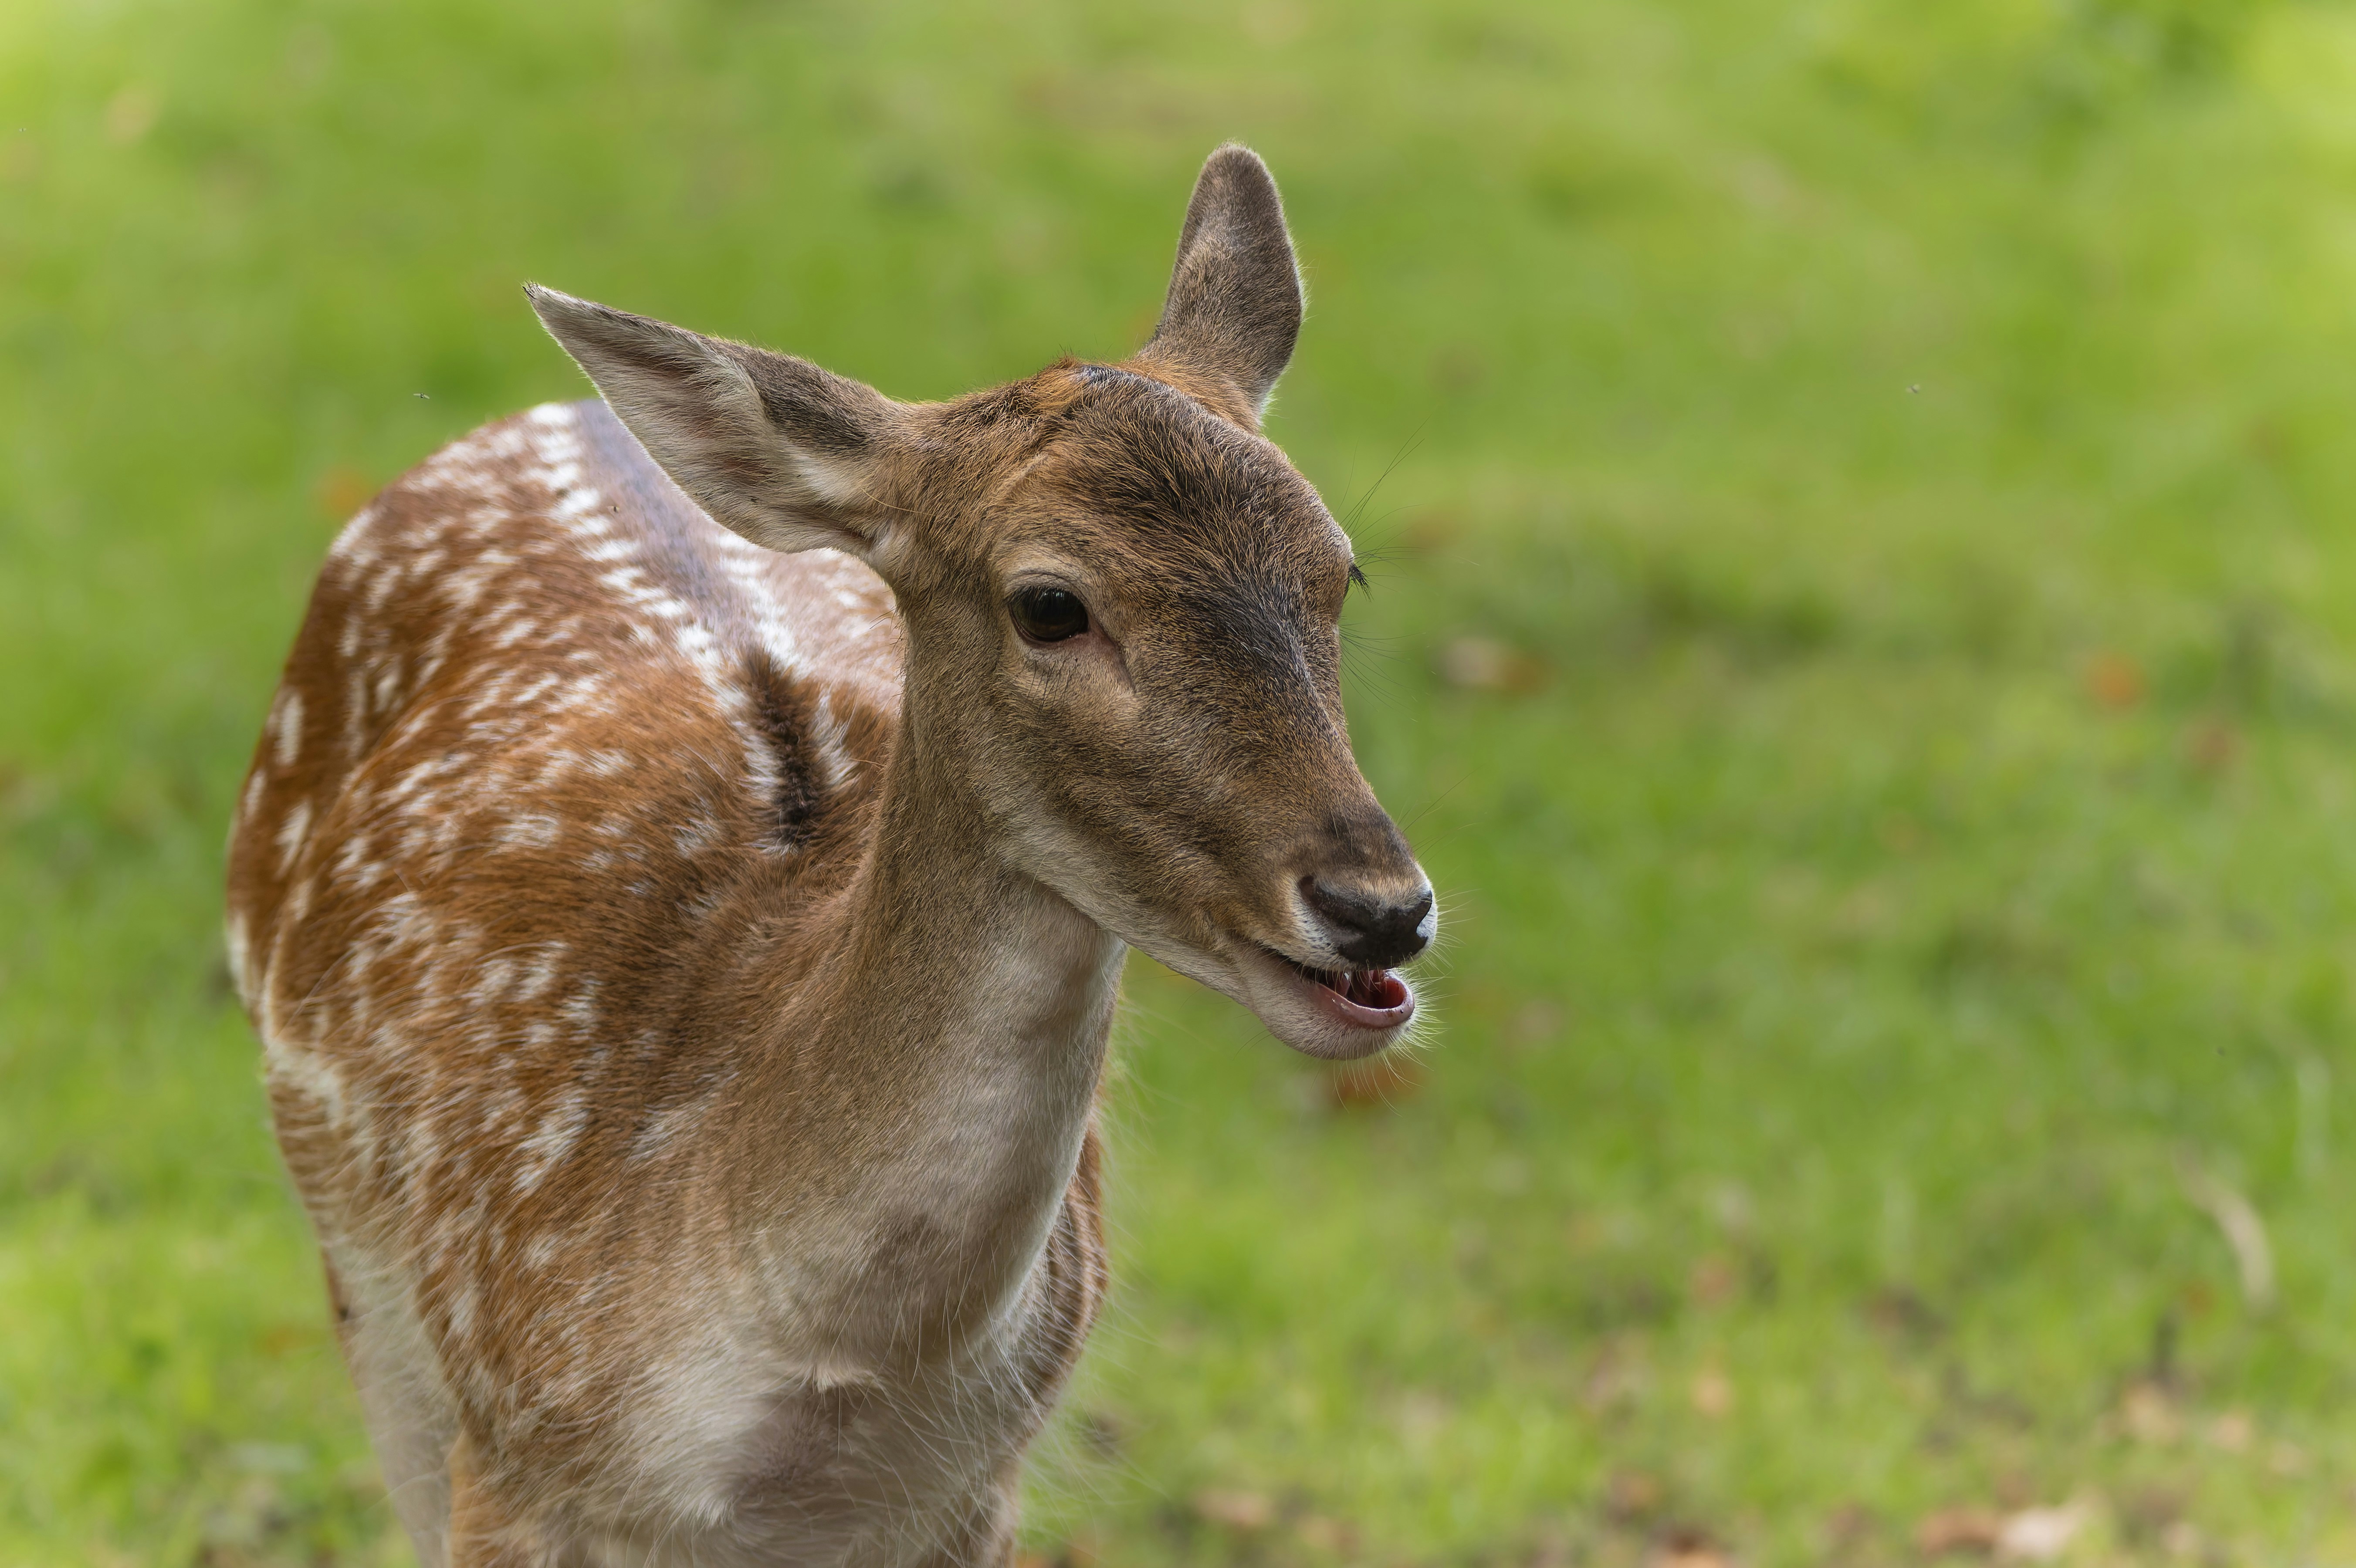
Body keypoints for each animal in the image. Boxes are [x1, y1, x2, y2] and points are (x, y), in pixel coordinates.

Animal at [225, 144, 1436, 1566]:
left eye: (1340, 572)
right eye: (1049, 605)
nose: (1378, 909)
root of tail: (564, 411)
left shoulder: (973, 1490)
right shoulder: (508, 1464)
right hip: (366, 1292)